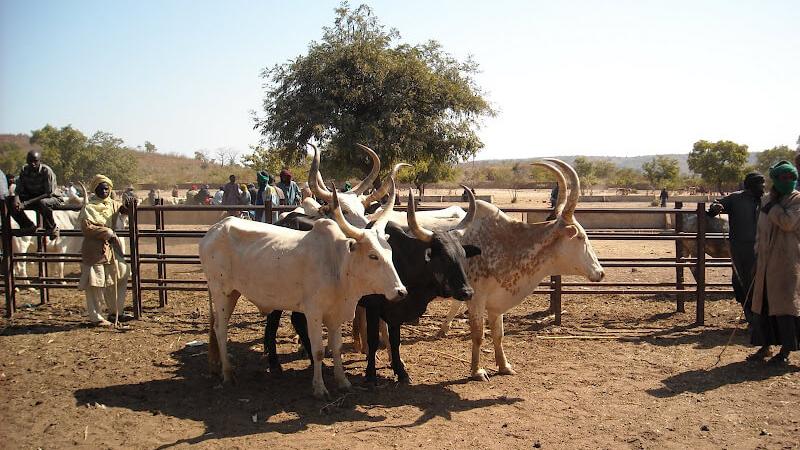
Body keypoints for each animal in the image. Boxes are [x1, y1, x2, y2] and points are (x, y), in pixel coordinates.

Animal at [200, 178, 407, 399]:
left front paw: (343, 381)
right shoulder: (313, 312)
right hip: (221, 292)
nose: (401, 291)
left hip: (233, 293)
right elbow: (318, 350)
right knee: (221, 329)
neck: (337, 263)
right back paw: (228, 373)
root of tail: (215, 229)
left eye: (390, 252)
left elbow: (337, 347)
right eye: (373, 255)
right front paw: (319, 387)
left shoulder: (335, 313)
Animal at [437, 159, 605, 381]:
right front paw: (476, 371)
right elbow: (478, 334)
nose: (600, 272)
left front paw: (504, 366)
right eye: (581, 237)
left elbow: (498, 334)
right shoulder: (476, 299)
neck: (505, 245)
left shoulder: (496, 303)